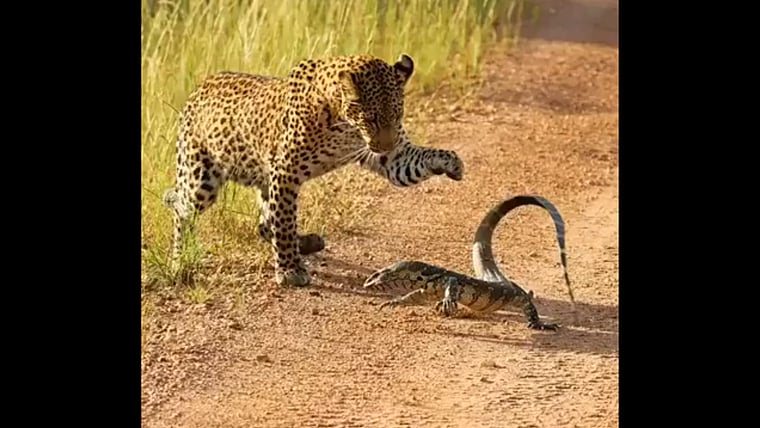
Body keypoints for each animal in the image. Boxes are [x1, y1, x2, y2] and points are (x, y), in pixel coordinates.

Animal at [162, 53, 464, 287]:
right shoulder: (285, 171)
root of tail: (201, 85)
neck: (345, 124)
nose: (384, 145)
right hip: (200, 178)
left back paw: (308, 243)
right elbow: (284, 223)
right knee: (181, 206)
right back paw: (179, 260)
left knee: (264, 223)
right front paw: (290, 271)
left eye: (398, 115)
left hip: (259, 180)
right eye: (372, 118)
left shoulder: (395, 158)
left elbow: (418, 160)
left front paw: (450, 162)